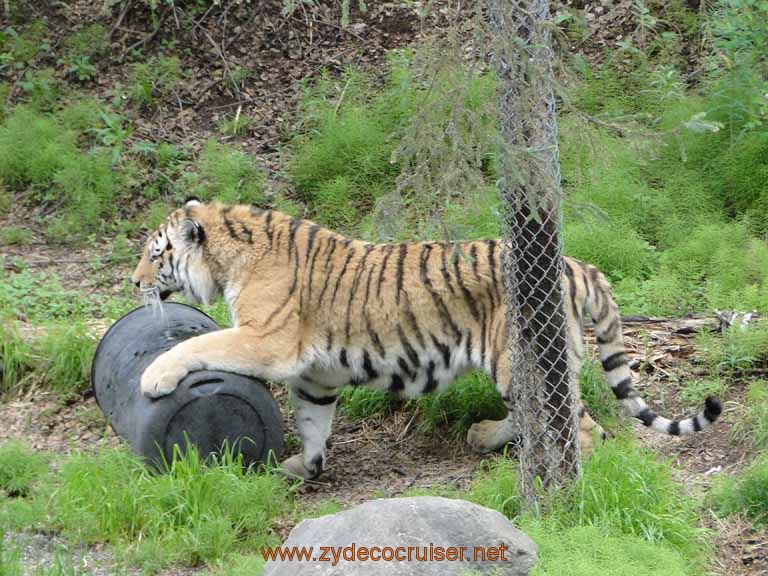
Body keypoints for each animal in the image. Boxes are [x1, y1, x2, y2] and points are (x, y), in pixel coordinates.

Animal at [129, 200, 724, 480]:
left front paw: (154, 377)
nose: (133, 283)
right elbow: (314, 423)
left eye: (156, 254)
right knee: (542, 413)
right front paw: (304, 467)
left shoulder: (267, 341)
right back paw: (486, 437)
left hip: (516, 358)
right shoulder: (317, 375)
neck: (228, 260)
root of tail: (576, 264)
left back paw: (570, 479)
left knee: (580, 424)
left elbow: (199, 345)